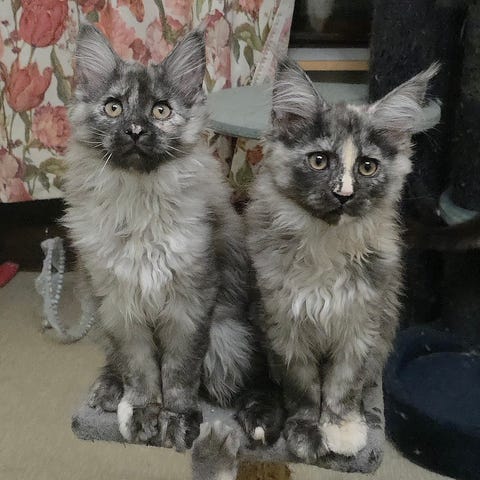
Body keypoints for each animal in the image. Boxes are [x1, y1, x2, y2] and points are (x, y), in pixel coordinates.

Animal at [64, 24, 283, 451]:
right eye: (113, 108)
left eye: (160, 110)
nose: (135, 131)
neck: (138, 203)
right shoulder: (121, 307)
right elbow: (140, 371)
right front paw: (144, 414)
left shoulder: (188, 304)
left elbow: (179, 374)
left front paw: (179, 421)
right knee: (116, 362)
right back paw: (108, 389)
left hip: (228, 338)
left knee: (259, 379)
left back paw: (261, 421)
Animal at [247, 58, 439, 460]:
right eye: (320, 161)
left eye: (367, 167)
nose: (344, 194)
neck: (326, 246)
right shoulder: (285, 326)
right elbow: (304, 388)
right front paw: (306, 432)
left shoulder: (361, 325)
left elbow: (343, 385)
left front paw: (343, 430)